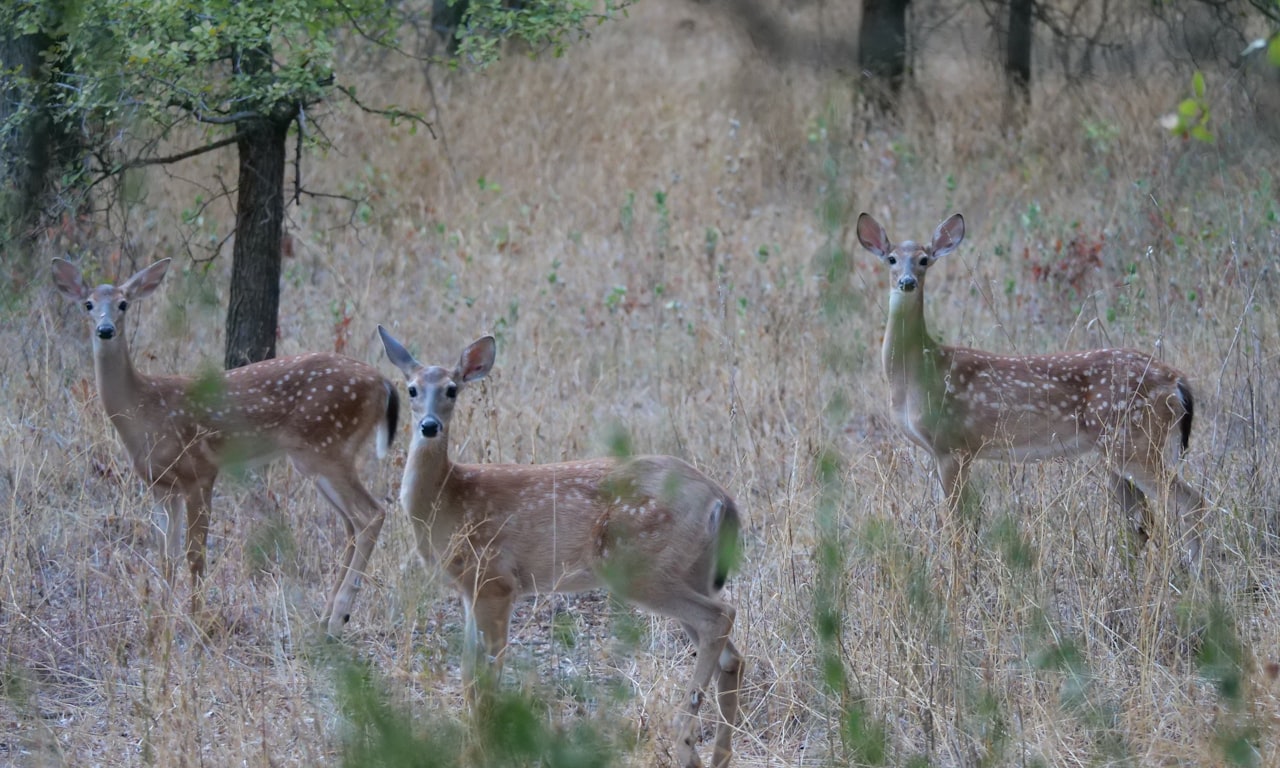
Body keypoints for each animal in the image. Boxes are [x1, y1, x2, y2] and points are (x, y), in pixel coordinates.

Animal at [52, 254, 396, 632]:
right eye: (88, 304)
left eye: (123, 304)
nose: (105, 329)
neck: (145, 411)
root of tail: (383, 384)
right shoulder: (161, 486)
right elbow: (167, 554)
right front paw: (160, 619)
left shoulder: (199, 471)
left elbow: (195, 553)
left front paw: (195, 619)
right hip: (316, 458)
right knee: (351, 524)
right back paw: (325, 616)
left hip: (328, 447)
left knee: (372, 514)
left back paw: (338, 618)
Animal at [373, 326, 747, 768]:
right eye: (411, 388)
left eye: (451, 389)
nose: (429, 426)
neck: (448, 499)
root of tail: (721, 498)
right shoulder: (468, 588)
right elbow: (467, 674)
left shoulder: (496, 580)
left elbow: (487, 677)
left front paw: (482, 750)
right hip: (693, 571)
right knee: (730, 652)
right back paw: (716, 755)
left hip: (638, 564)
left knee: (719, 617)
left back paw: (685, 738)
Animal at [860, 209, 1208, 570]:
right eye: (891, 259)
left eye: (924, 259)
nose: (907, 282)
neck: (919, 370)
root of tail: (1177, 382)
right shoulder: (951, 451)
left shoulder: (952, 445)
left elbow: (957, 525)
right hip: (1117, 451)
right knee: (1143, 522)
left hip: (1135, 439)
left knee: (1190, 501)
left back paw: (1196, 572)